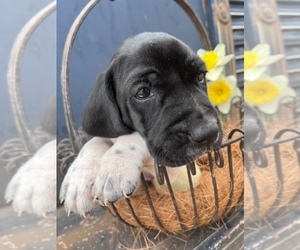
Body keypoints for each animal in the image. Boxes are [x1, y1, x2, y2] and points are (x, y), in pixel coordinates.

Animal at [59, 31, 221, 215]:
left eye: (200, 76)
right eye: (143, 92)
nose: (209, 132)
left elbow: (135, 136)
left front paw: (115, 168)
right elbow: (95, 141)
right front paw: (78, 180)